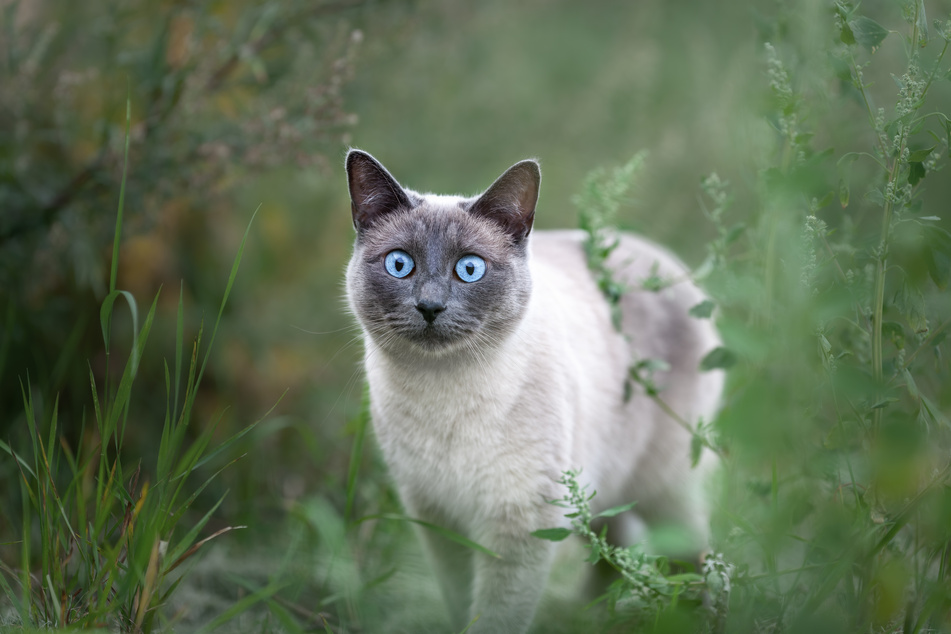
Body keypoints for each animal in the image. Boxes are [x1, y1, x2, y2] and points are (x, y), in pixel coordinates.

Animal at [346, 149, 724, 632]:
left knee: (689, 559)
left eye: (469, 269)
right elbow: (460, 603)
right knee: (612, 550)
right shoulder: (439, 520)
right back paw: (589, 618)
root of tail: (665, 260)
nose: (430, 306)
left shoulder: (519, 522)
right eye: (399, 264)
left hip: (661, 488)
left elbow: (494, 617)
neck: (443, 397)